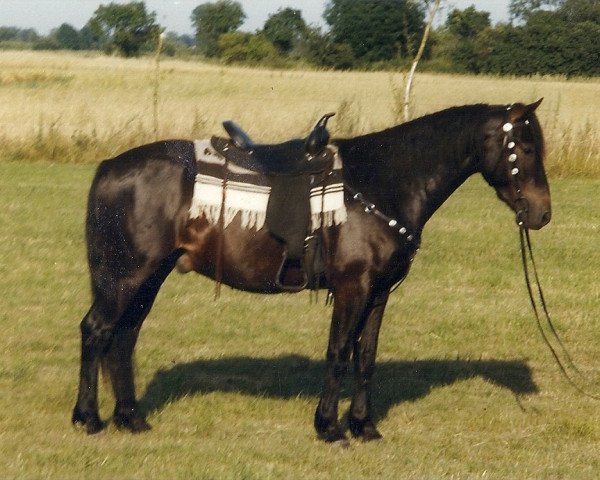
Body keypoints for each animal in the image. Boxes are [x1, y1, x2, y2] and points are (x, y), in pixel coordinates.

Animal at [72, 99, 552, 444]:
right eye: (526, 148)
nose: (542, 214)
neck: (382, 183)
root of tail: (110, 168)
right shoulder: (353, 287)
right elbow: (338, 352)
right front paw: (329, 427)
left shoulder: (380, 291)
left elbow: (366, 357)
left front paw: (364, 426)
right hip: (127, 276)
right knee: (97, 330)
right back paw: (88, 419)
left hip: (150, 276)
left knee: (124, 336)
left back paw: (131, 418)